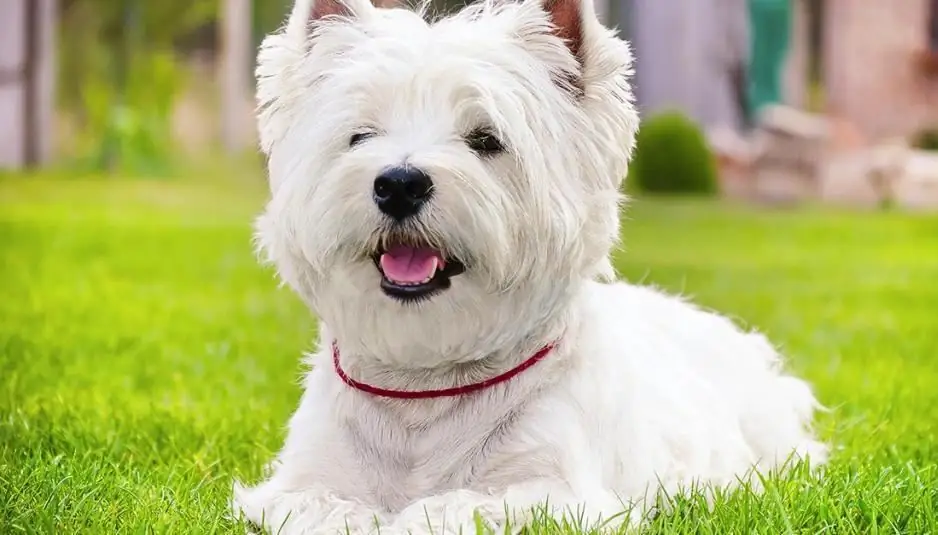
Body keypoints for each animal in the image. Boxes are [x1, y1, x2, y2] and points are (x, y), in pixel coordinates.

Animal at [234, 0, 828, 532]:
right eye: (360, 135)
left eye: (485, 140)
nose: (398, 183)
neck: (423, 390)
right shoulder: (300, 483)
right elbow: (329, 507)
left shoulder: (558, 493)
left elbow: (454, 507)